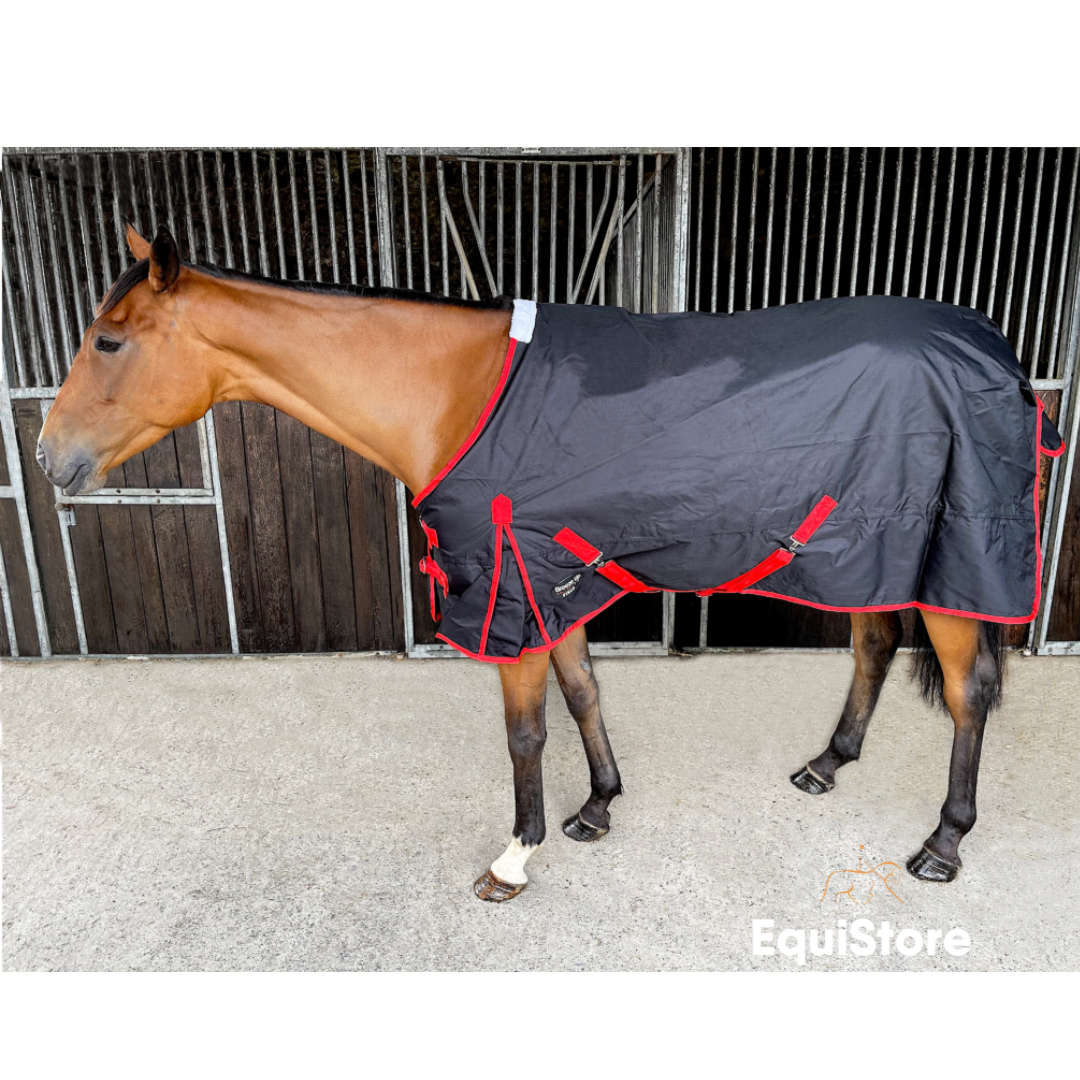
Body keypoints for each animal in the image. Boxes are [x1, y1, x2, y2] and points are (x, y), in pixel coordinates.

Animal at [36, 223, 1040, 902]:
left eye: (109, 340)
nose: (47, 460)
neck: (456, 394)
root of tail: (992, 350)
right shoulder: (550, 579)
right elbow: (584, 694)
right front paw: (596, 807)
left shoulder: (507, 588)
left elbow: (525, 732)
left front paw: (515, 857)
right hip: (871, 547)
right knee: (874, 647)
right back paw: (827, 764)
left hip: (955, 566)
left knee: (969, 696)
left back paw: (943, 844)